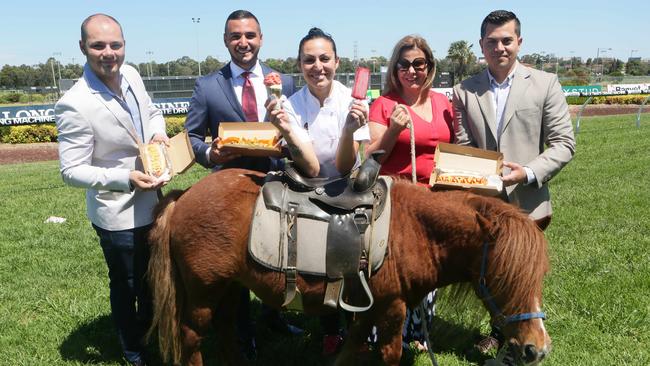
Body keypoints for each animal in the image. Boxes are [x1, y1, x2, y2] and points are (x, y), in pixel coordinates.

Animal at [146, 168, 548, 364]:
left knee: (228, 331)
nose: (537, 350)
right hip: (203, 292)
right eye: (503, 276)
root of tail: (183, 197)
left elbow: (351, 348)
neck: (413, 229)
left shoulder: (370, 307)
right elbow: (387, 354)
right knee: (192, 338)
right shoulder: (392, 308)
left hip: (229, 288)